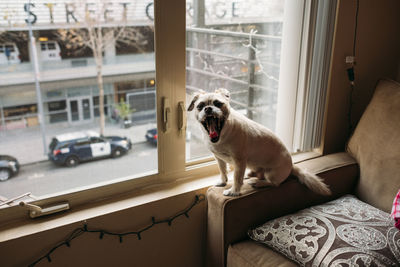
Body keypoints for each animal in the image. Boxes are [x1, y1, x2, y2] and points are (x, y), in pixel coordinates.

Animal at [188, 89, 332, 198]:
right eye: (200, 106)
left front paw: (234, 191)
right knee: (258, 174)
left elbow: (237, 178)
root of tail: (292, 166)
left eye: (218, 104)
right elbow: (223, 171)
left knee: (274, 183)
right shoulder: (219, 158)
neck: (222, 134)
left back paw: (259, 183)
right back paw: (251, 174)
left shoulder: (239, 161)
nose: (208, 109)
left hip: (271, 173)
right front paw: (223, 182)